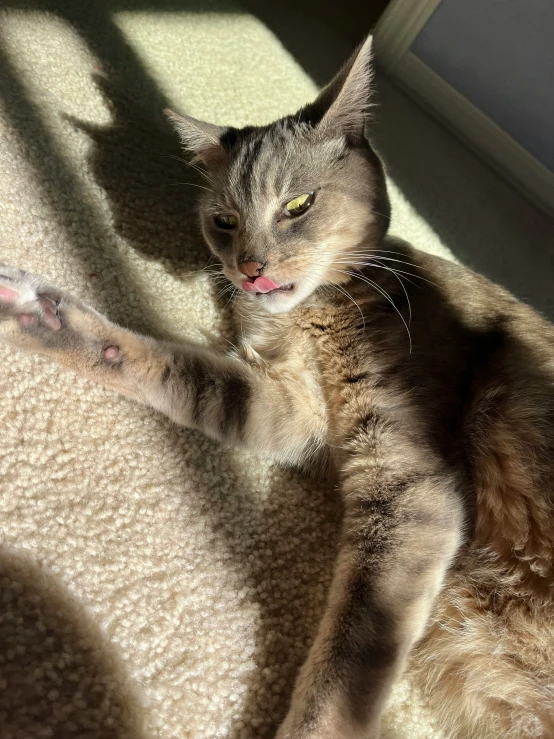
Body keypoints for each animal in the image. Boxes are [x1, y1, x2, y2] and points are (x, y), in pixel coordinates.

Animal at [1, 36, 552, 739]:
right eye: (224, 220)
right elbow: (180, 373)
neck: (314, 309)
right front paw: (40, 318)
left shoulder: (411, 483)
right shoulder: (291, 410)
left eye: (297, 206)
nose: (250, 269)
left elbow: (347, 667)